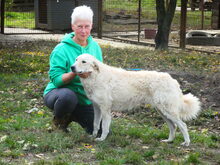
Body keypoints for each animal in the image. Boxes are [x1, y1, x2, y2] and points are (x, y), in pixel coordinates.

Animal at [72, 53, 201, 146]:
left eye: (83, 61)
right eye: (76, 59)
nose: (72, 67)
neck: (95, 76)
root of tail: (173, 80)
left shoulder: (105, 109)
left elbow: (104, 127)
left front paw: (102, 139)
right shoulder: (97, 108)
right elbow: (95, 124)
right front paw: (93, 136)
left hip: (168, 111)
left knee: (183, 125)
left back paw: (186, 143)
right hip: (162, 111)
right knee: (173, 126)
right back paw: (168, 141)